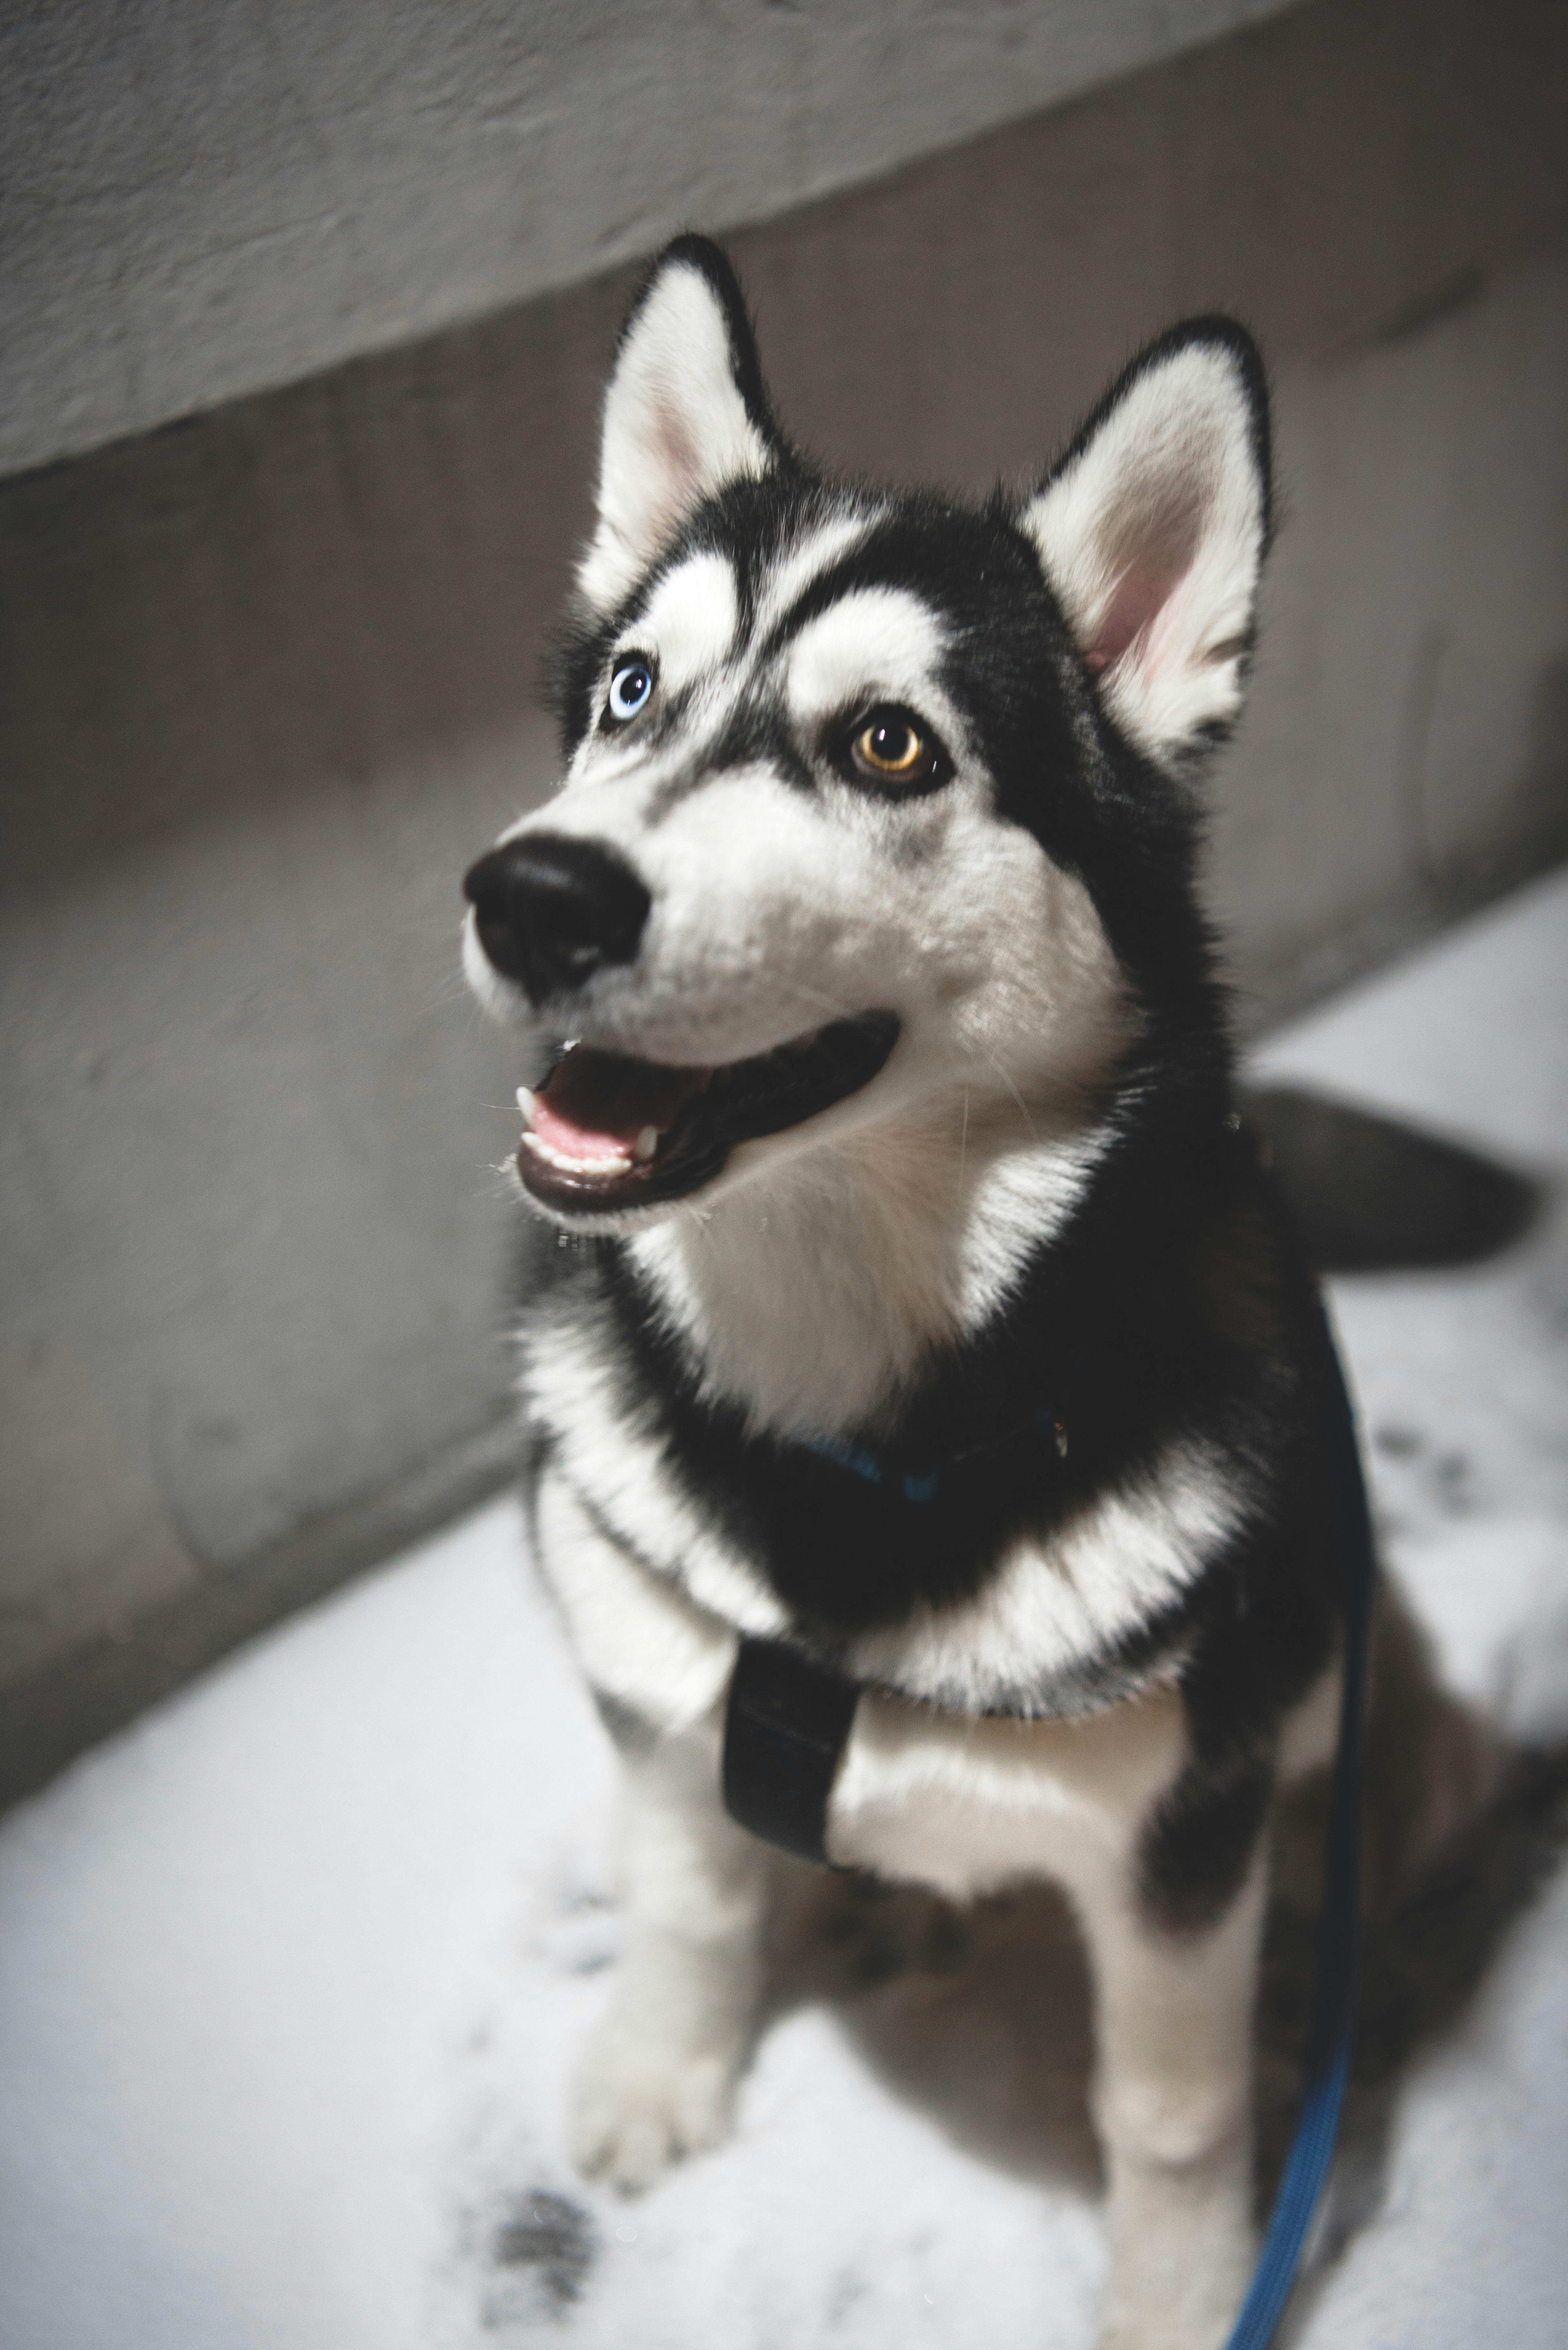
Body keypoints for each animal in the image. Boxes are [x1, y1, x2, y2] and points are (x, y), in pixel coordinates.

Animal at [465, 243, 1373, 2350]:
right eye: (629, 687)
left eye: (889, 742)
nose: (528, 894)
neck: (845, 1425)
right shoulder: (660, 1695)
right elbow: (689, 1896)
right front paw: (662, 2065)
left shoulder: (1179, 1824)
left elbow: (1173, 2106)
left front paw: (1184, 2293)